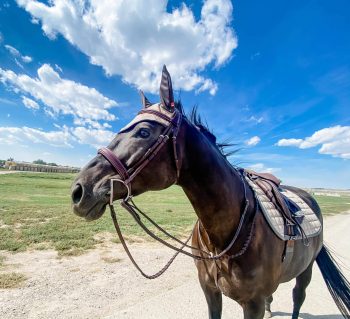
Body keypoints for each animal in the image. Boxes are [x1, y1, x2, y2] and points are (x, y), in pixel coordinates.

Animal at [69, 66, 348, 318]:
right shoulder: (210, 291)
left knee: (298, 298)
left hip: (305, 271)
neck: (225, 232)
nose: (79, 190)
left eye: (144, 131)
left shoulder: (253, 304)